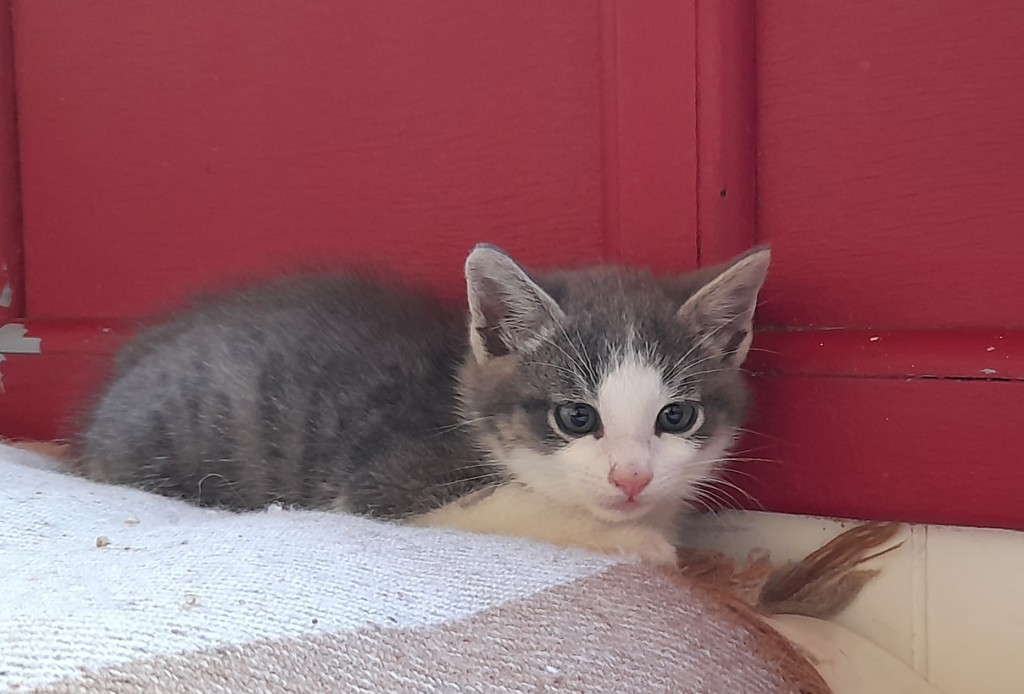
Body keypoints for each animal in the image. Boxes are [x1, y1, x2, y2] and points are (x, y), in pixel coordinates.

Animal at [77, 244, 770, 565]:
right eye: (577, 418)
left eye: (676, 417)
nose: (631, 479)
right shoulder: (391, 484)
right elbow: (524, 508)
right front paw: (640, 542)